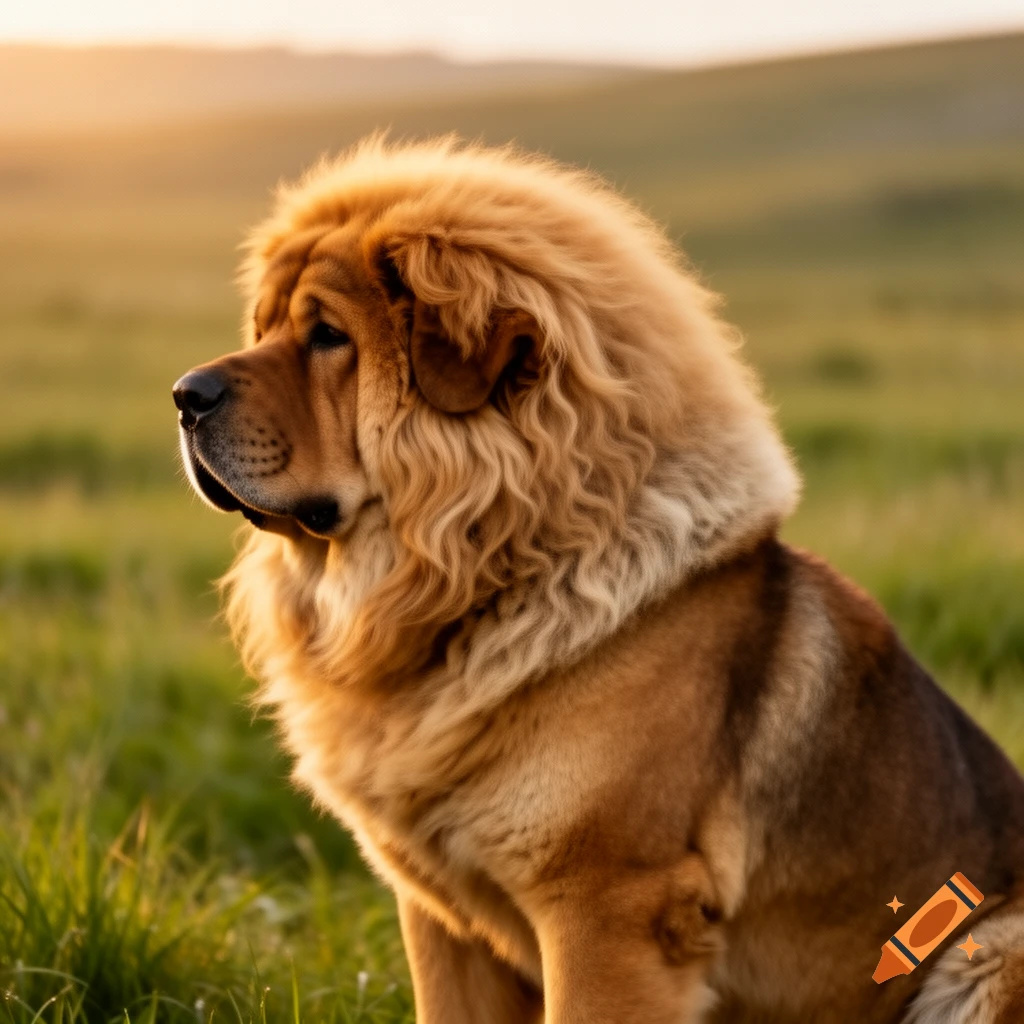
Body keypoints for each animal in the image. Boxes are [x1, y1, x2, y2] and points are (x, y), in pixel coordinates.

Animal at [173, 137, 1024, 1022]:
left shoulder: (606, 908)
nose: (184, 395)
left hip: (995, 944)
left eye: (328, 336)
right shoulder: (443, 922)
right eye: (263, 327)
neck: (483, 583)